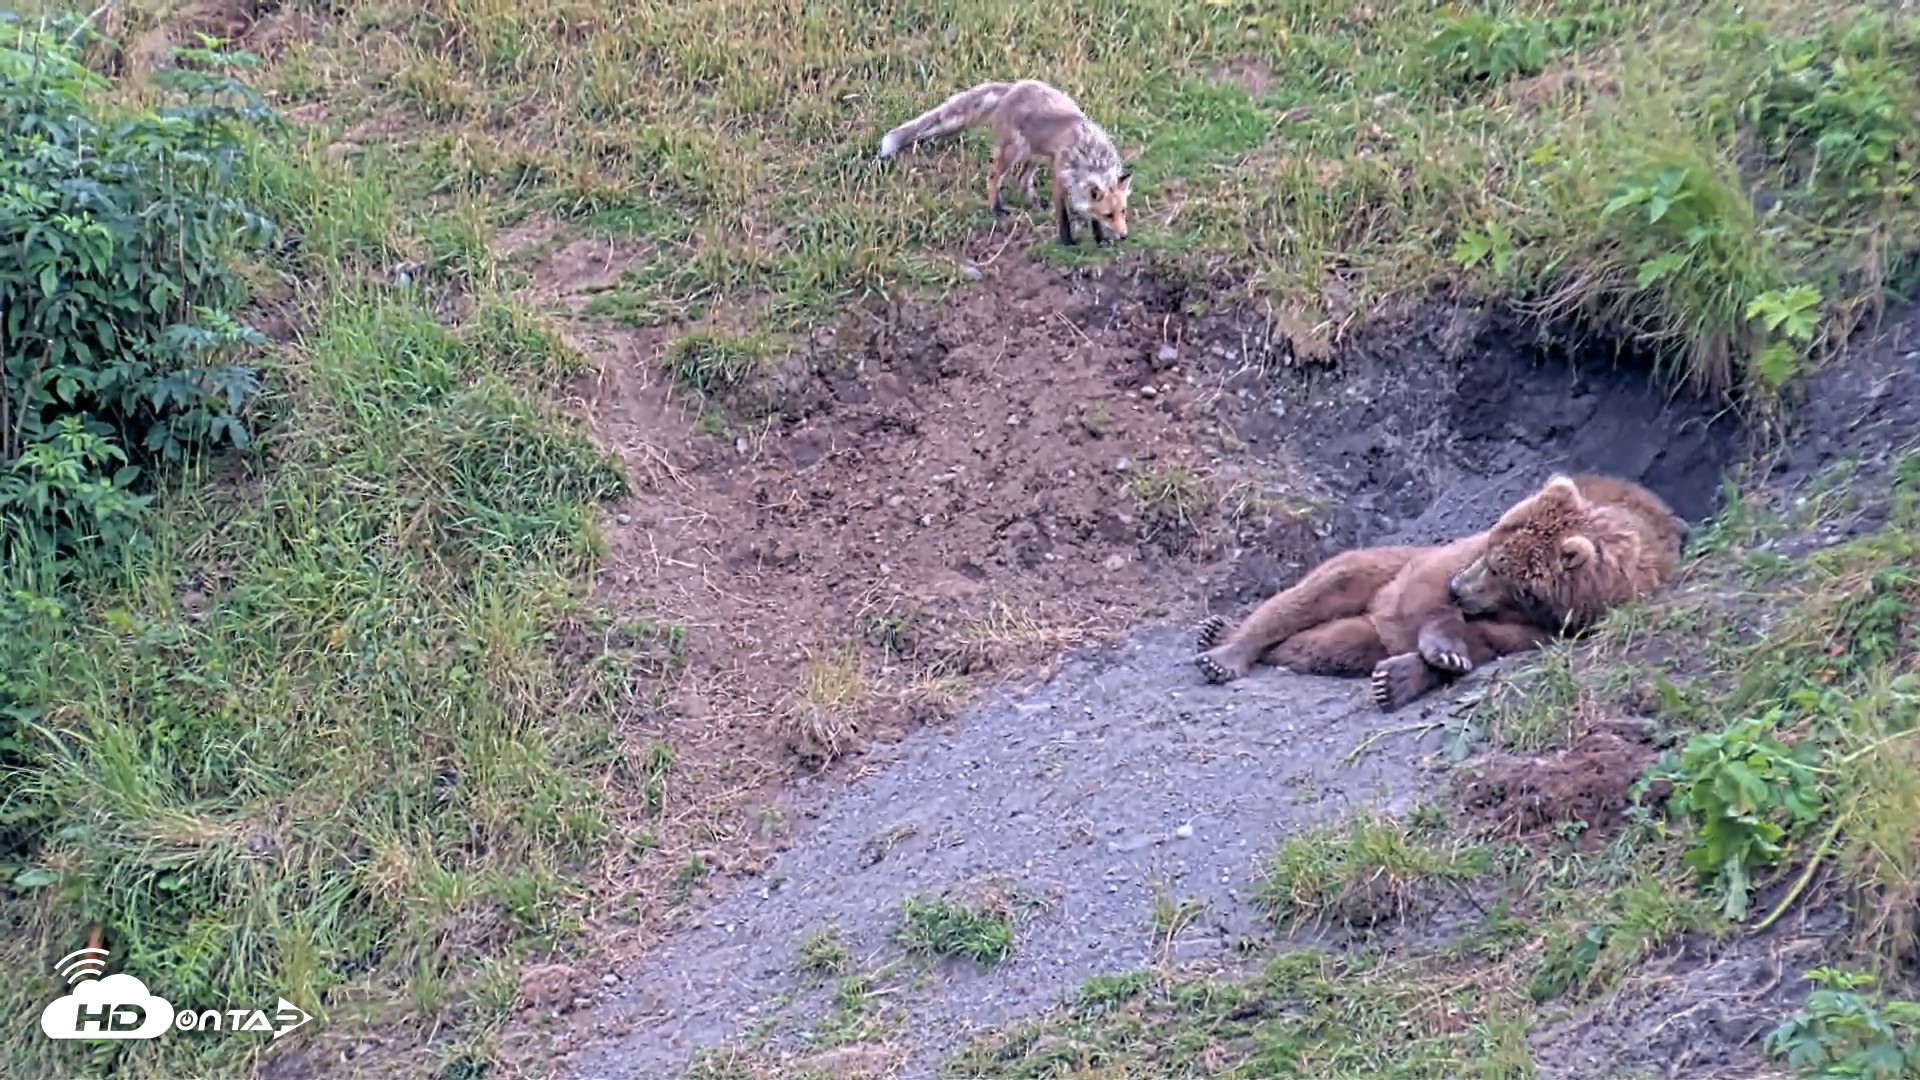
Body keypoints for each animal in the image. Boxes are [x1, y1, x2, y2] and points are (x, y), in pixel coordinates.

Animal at [1192, 472, 1688, 711]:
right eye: (1490, 553)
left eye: (1501, 570)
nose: (1459, 589)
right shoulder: (1441, 562)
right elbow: (1427, 590)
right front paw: (1442, 645)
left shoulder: (1560, 627)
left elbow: (1494, 642)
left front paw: (1408, 675)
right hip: (1379, 569)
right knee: (1319, 591)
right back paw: (1223, 646)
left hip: (1366, 629)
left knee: (1335, 641)